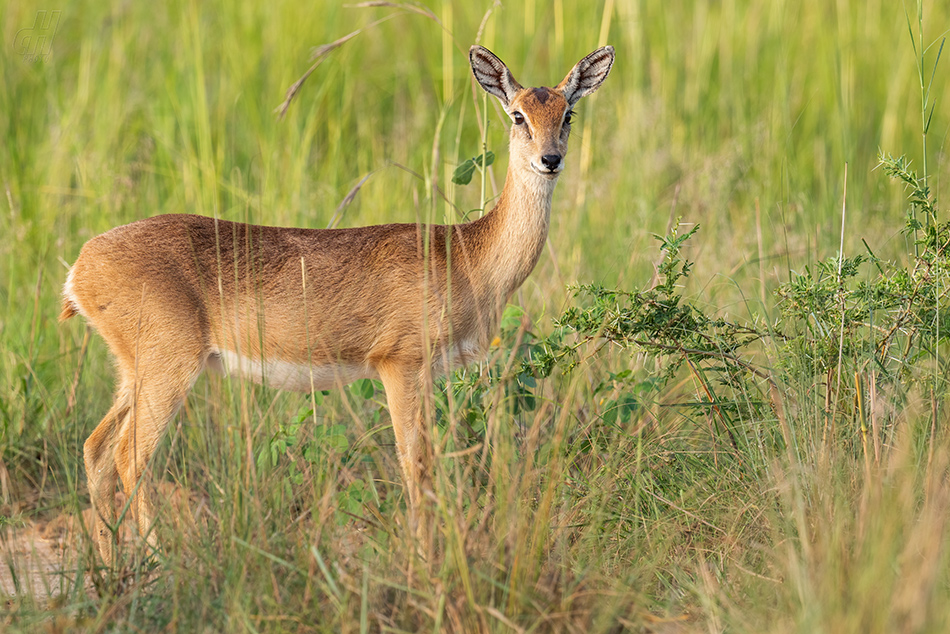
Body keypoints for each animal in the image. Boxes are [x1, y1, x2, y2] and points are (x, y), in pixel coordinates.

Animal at [63, 44, 620, 560]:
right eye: (518, 114)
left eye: (567, 113)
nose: (550, 160)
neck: (467, 257)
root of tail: (79, 269)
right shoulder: (400, 362)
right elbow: (414, 463)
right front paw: (423, 562)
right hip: (169, 364)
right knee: (130, 456)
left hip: (134, 369)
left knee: (96, 449)